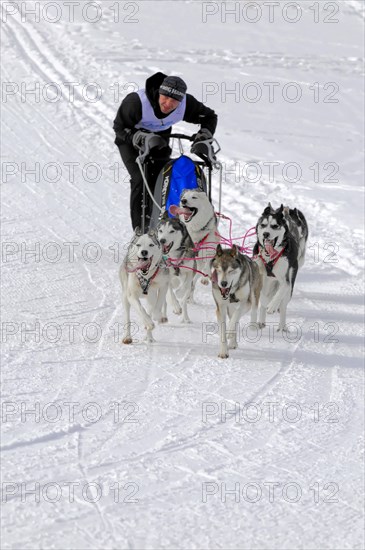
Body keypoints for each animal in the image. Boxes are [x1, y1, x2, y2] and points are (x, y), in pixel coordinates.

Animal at [253, 203, 308, 332]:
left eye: (275, 226)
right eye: (263, 225)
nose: (266, 234)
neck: (270, 258)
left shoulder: (286, 281)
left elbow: (281, 292)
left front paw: (272, 306)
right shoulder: (261, 277)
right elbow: (263, 299)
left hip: (288, 287)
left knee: (283, 306)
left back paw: (282, 327)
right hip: (268, 283)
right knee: (265, 299)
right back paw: (261, 321)